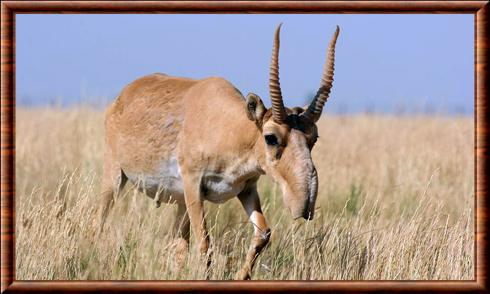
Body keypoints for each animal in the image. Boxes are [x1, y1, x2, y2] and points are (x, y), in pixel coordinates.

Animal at [98, 24, 338, 280]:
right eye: (271, 137)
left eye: (313, 138)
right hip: (115, 177)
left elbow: (263, 233)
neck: (229, 128)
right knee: (100, 220)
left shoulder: (247, 189)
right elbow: (205, 243)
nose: (304, 204)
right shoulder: (193, 186)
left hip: (180, 202)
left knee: (177, 245)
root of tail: (123, 96)